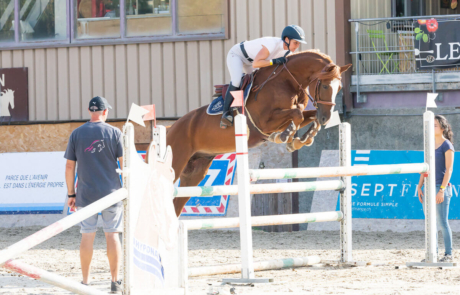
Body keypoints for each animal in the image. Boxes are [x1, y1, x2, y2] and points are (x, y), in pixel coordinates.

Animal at [149, 50, 350, 217]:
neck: (286, 81)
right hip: (176, 160)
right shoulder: (265, 121)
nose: (326, 118)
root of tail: (171, 128)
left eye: (340, 88)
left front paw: (302, 138)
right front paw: (286, 137)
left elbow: (304, 114)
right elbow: (297, 114)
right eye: (325, 86)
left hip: (196, 169)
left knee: (177, 204)